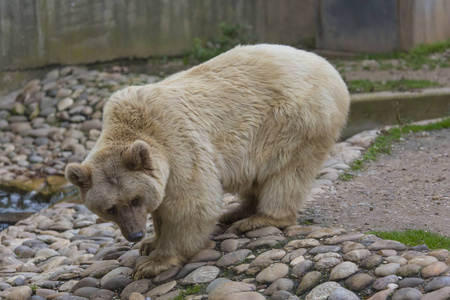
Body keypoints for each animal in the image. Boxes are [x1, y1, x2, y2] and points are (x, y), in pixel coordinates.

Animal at [65, 44, 350, 278]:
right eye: (111, 208)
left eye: (135, 200)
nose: (134, 235)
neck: (131, 123)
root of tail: (329, 68)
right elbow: (164, 205)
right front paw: (151, 242)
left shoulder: (178, 144)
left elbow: (190, 204)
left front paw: (154, 261)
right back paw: (237, 211)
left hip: (294, 122)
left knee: (287, 172)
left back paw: (260, 218)